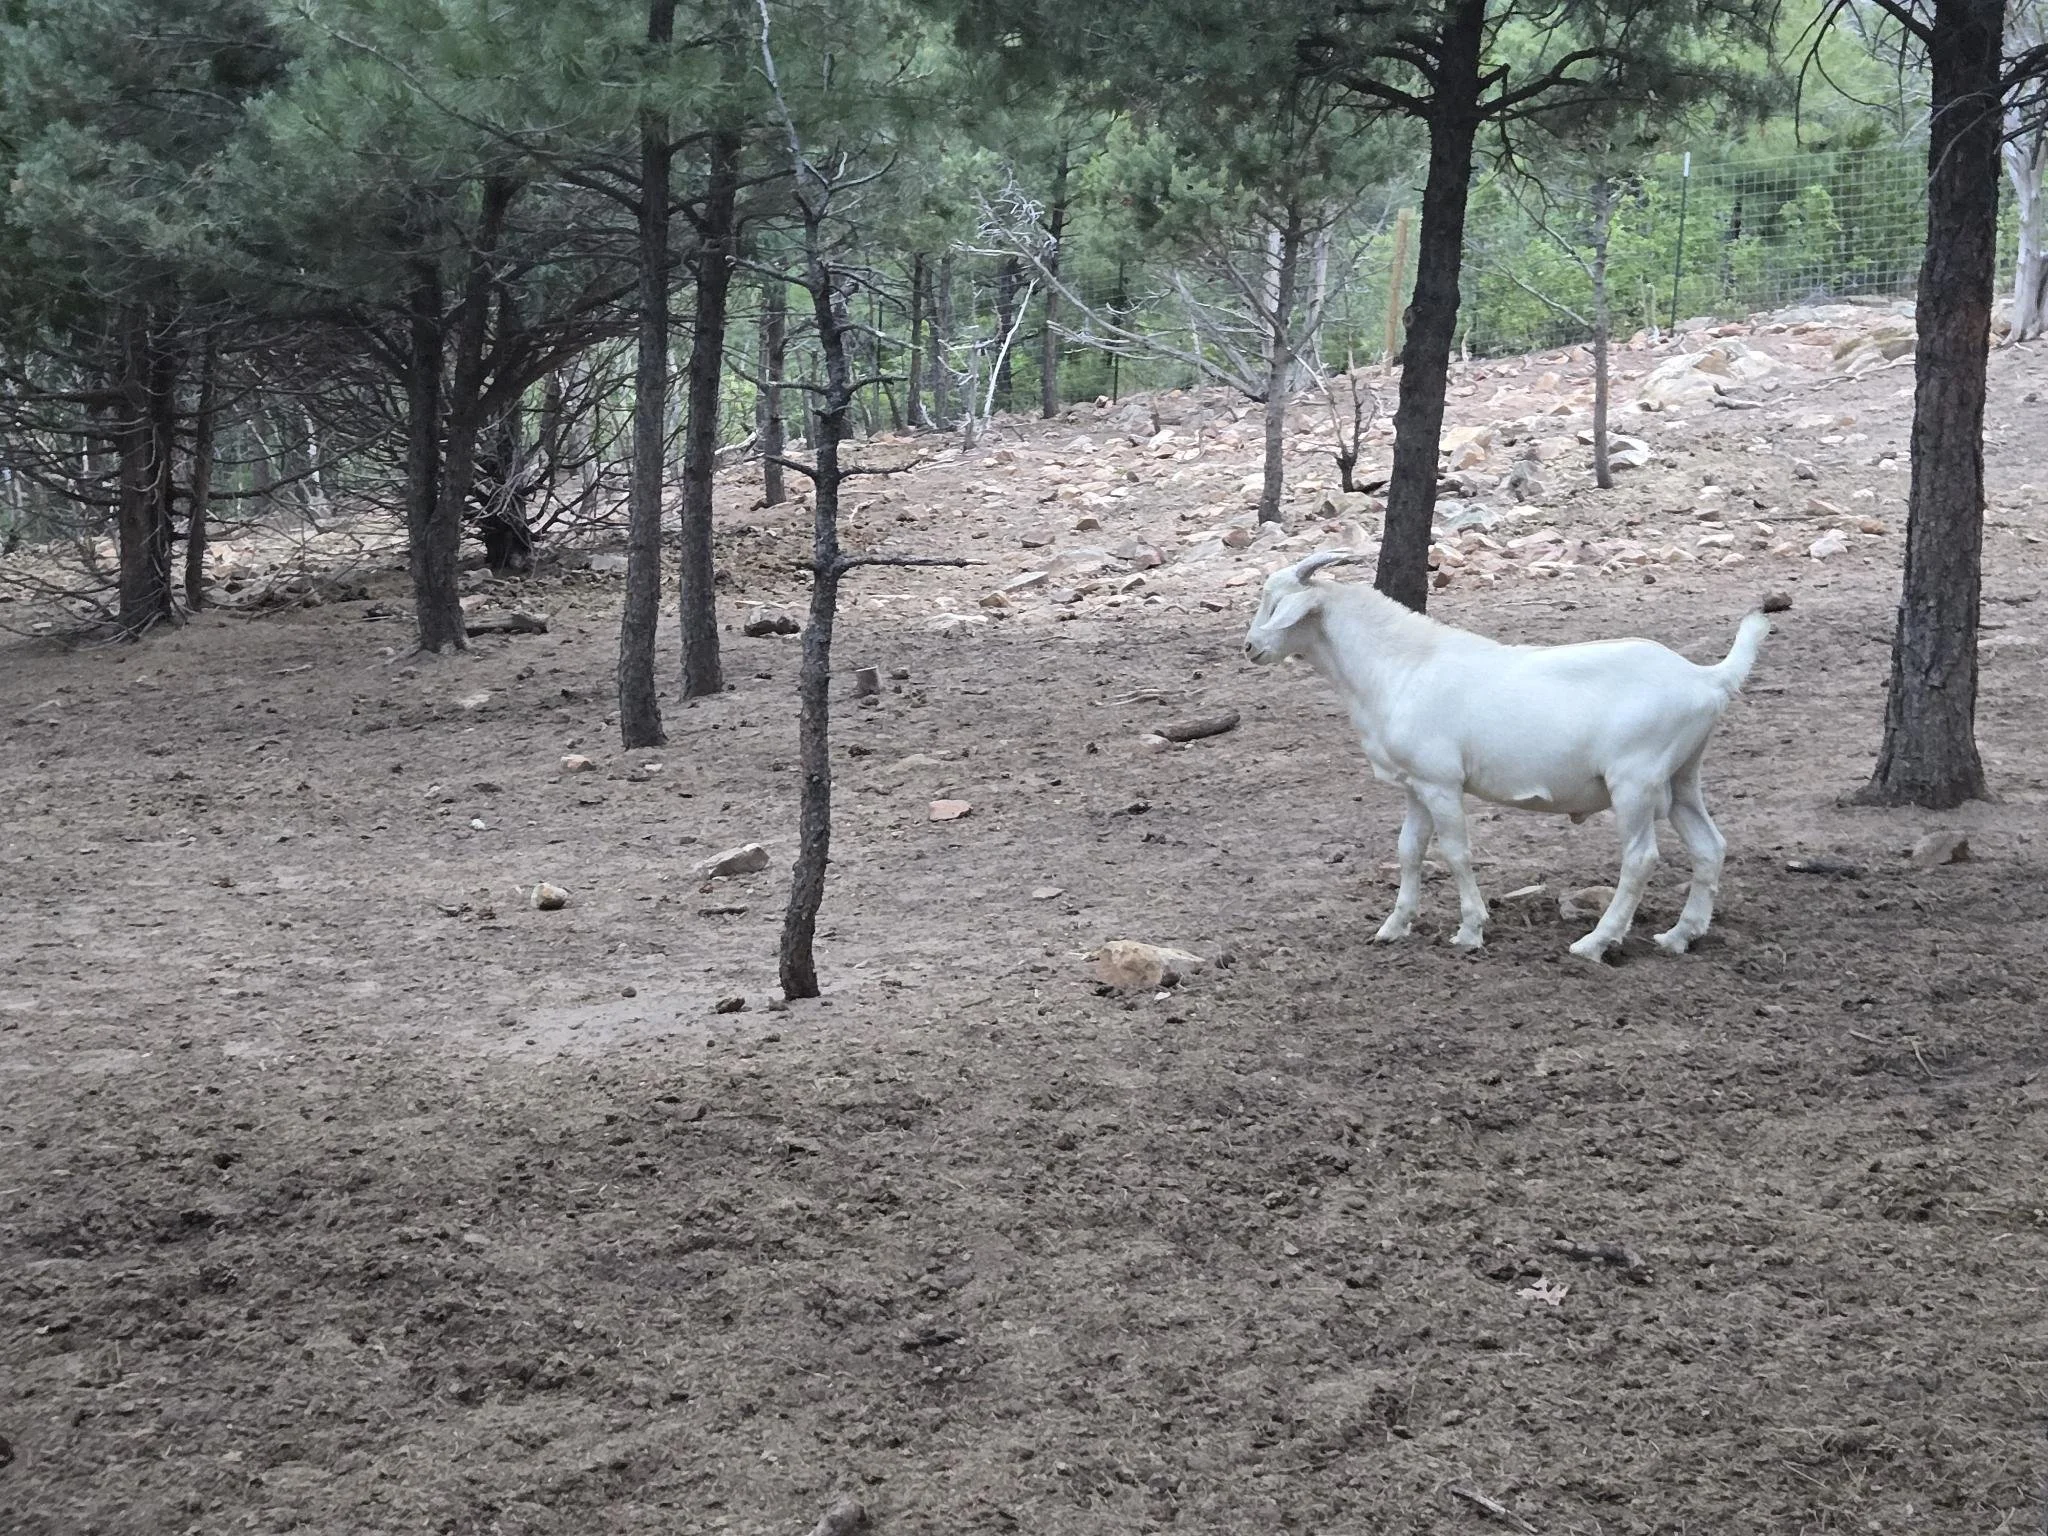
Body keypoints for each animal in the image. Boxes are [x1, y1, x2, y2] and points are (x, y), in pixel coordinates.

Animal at [1242, 551, 1770, 960]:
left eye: (1277, 603)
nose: (1249, 647)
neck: (1403, 666)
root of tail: (1706, 678)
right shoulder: (1416, 785)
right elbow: (1409, 851)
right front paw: (1393, 928)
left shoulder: (1441, 783)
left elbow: (1455, 853)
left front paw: (1470, 931)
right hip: (1681, 775)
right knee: (1709, 846)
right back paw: (1680, 936)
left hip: (1636, 780)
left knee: (1640, 858)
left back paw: (1595, 943)